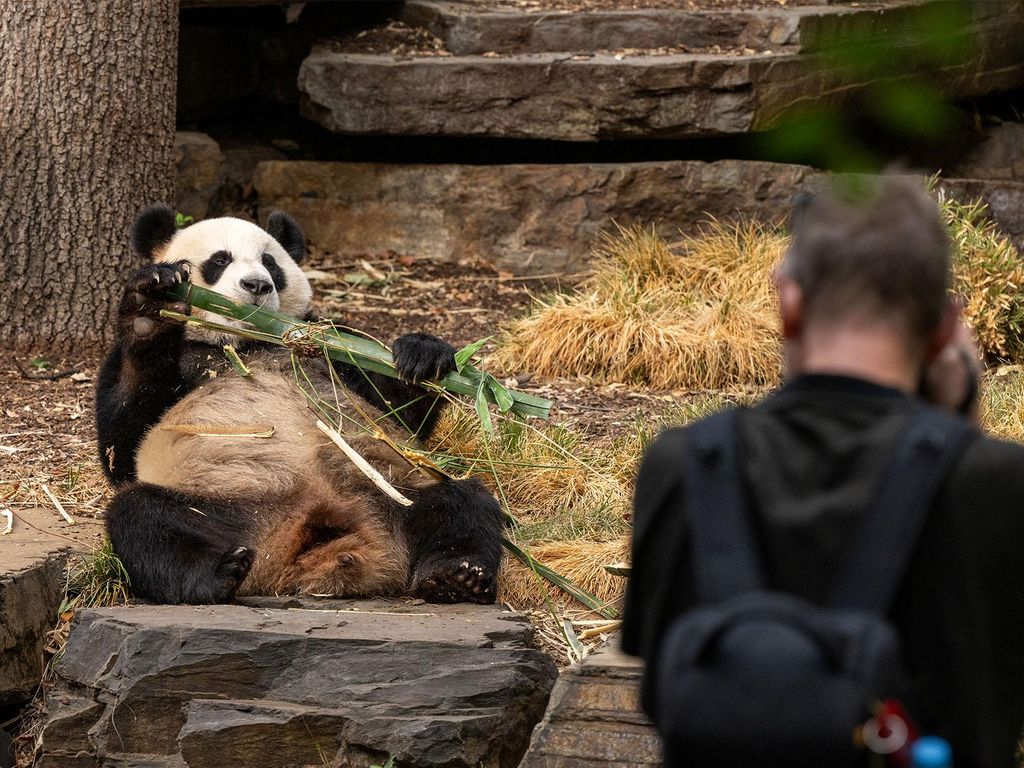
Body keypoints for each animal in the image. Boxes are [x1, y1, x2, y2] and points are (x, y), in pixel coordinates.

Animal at [95, 205, 503, 605]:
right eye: (220, 260)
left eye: (270, 263)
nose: (257, 285)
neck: (249, 340)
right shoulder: (176, 361)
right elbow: (124, 444)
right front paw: (150, 307)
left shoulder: (326, 346)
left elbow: (395, 413)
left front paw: (422, 357)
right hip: (227, 505)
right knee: (142, 517)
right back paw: (217, 573)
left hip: (390, 494)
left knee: (462, 503)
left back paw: (456, 576)